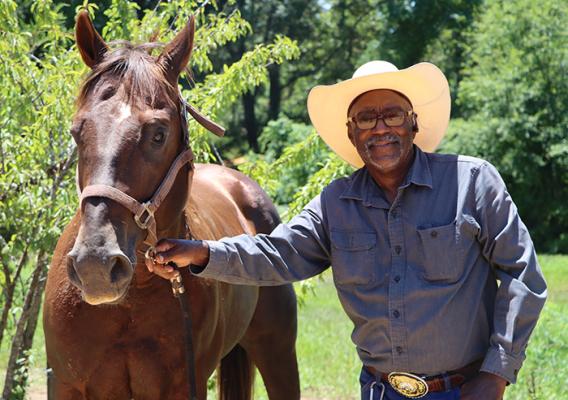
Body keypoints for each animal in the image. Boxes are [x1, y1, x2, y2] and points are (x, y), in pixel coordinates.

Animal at [43, 12, 302, 400]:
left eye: (158, 134)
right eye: (77, 131)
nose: (95, 265)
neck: (131, 302)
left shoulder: (184, 387)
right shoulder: (64, 384)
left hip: (278, 353)